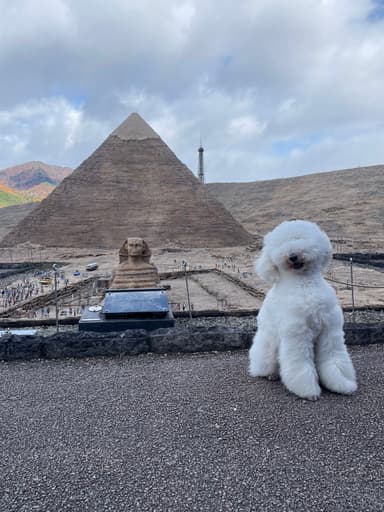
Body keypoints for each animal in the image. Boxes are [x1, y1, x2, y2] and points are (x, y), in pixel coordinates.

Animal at [249, 220, 356, 400]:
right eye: (281, 244)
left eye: (299, 238)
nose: (292, 255)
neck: (304, 284)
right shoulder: (298, 334)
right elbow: (300, 365)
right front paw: (308, 390)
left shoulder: (329, 331)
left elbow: (333, 359)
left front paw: (342, 384)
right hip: (269, 343)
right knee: (266, 361)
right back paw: (269, 374)